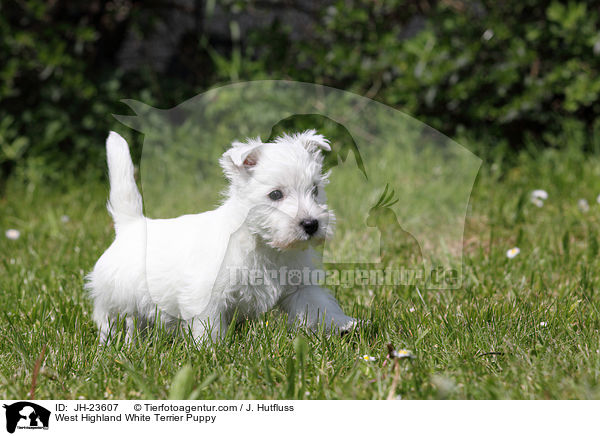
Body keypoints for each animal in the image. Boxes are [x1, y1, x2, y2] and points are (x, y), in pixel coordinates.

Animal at [84, 129, 356, 344]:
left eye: (315, 190)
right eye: (275, 194)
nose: (311, 224)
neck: (262, 244)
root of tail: (131, 225)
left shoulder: (299, 288)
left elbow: (320, 306)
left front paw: (344, 325)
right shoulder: (207, 295)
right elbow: (210, 328)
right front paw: (212, 351)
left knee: (134, 325)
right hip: (113, 298)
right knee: (109, 320)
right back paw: (109, 347)